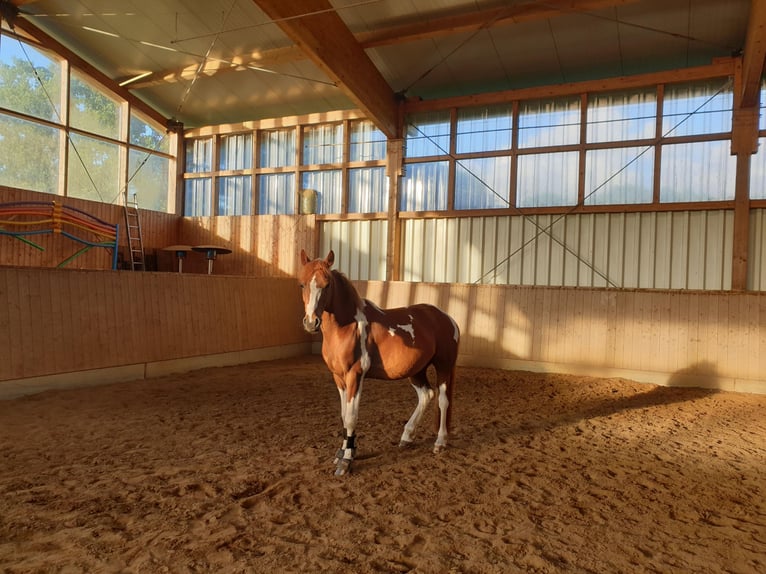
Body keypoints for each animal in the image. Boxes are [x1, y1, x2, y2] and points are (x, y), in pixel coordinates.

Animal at [298, 249, 460, 476]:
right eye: (302, 284)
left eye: (327, 284)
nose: (311, 322)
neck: (347, 327)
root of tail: (447, 318)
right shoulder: (338, 378)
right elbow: (343, 416)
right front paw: (342, 453)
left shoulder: (355, 375)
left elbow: (351, 417)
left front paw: (346, 461)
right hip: (416, 370)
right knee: (426, 395)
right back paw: (406, 437)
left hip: (444, 367)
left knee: (443, 401)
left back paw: (440, 442)